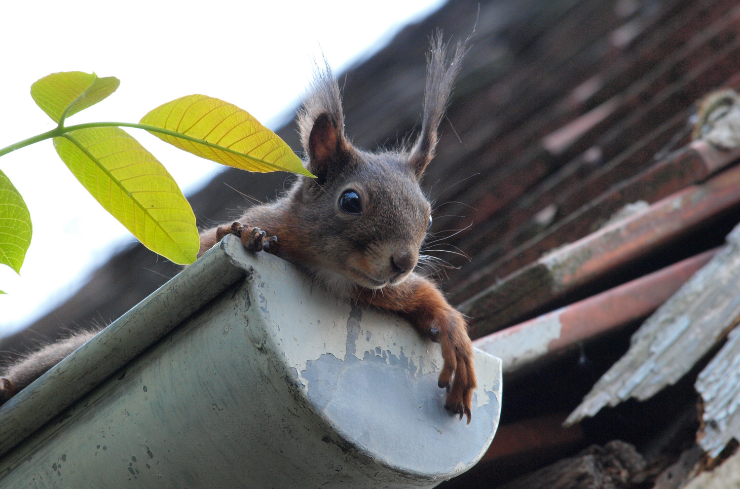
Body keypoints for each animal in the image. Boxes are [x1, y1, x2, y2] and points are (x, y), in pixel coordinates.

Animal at [0, 36, 476, 422]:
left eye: (428, 216)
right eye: (350, 201)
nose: (402, 262)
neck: (331, 270)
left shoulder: (374, 290)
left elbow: (423, 296)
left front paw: (454, 335)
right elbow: (205, 248)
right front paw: (248, 236)